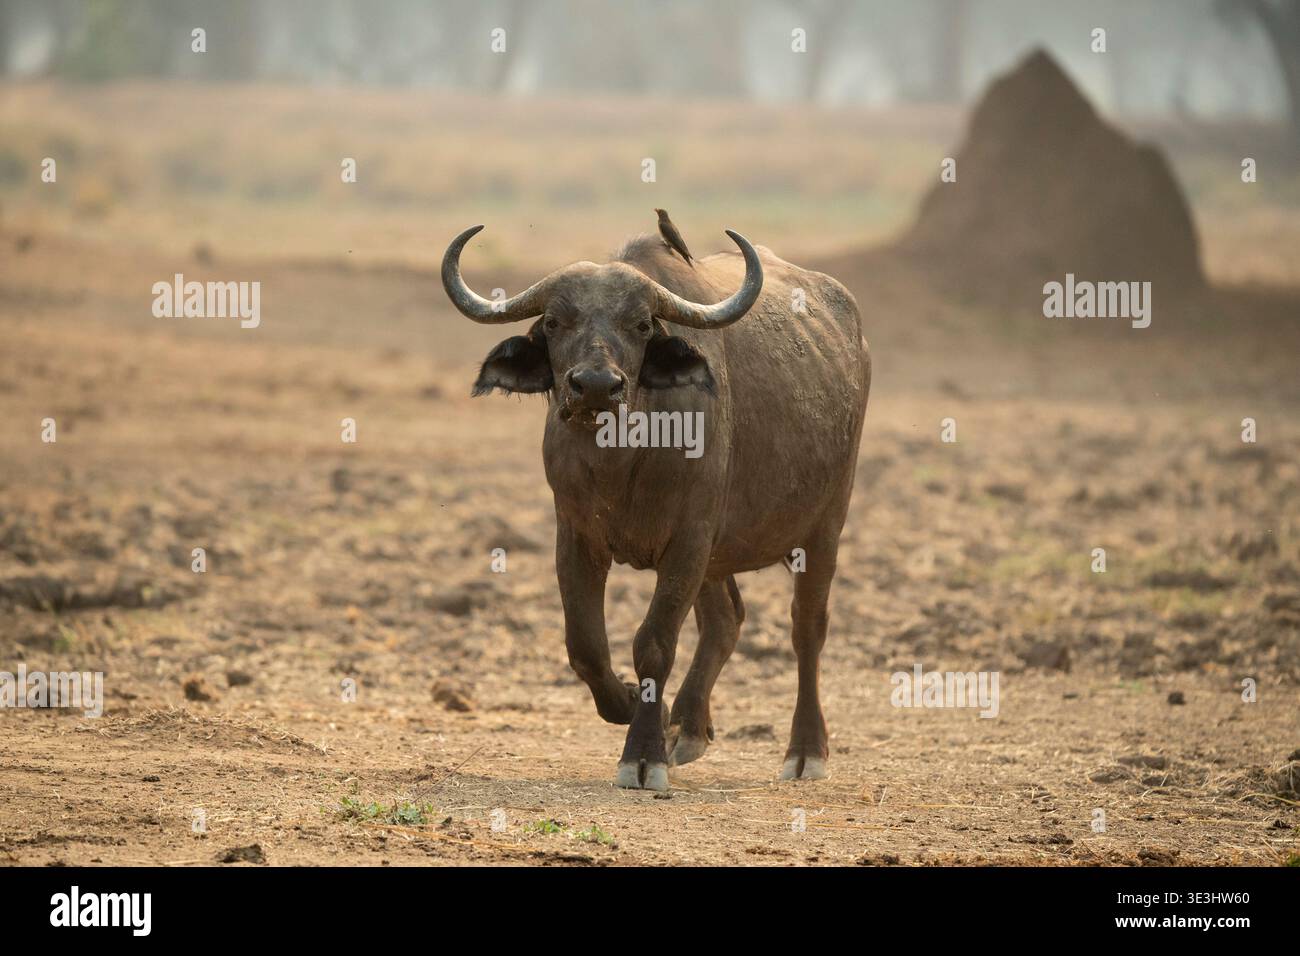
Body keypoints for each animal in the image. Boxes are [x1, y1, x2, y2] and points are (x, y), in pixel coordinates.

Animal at [442, 217, 870, 790]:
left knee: (807, 628)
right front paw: (631, 705)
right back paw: (687, 727)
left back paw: (805, 751)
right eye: (553, 322)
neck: (622, 460)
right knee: (726, 619)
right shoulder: (575, 536)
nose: (595, 386)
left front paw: (643, 754)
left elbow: (654, 643)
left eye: (643, 324)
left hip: (824, 526)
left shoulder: (688, 538)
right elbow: (585, 646)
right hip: (719, 556)